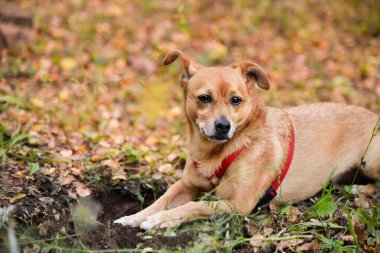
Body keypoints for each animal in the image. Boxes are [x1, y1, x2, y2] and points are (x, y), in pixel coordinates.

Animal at [113, 50, 380, 230]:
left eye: (236, 100)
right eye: (204, 98)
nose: (223, 126)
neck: (215, 152)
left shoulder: (238, 205)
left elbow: (193, 206)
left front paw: (161, 220)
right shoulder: (187, 185)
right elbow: (162, 199)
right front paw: (135, 217)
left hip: (370, 162)